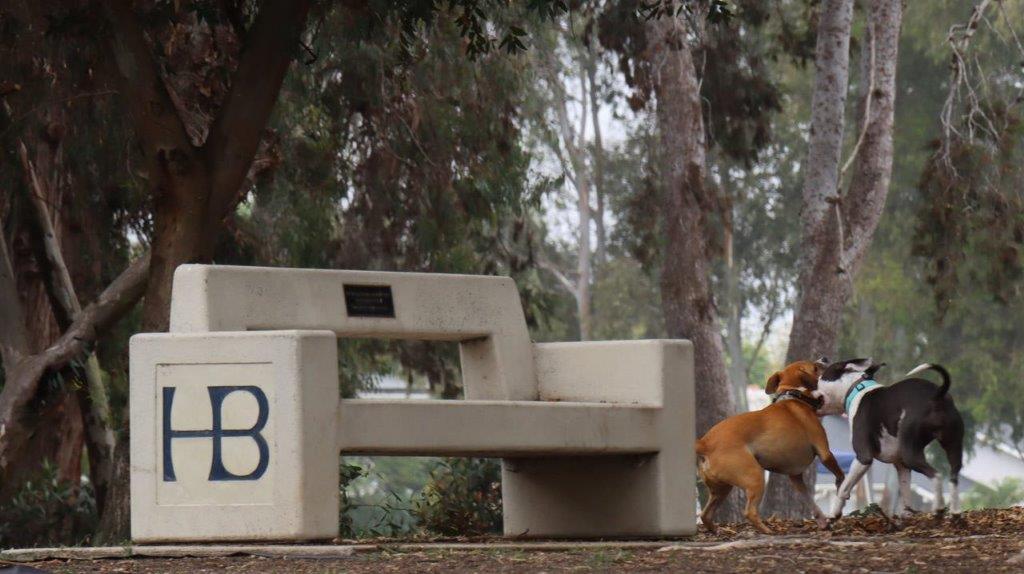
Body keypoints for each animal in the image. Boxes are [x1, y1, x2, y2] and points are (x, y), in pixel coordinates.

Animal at [696, 358, 847, 532]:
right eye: (815, 367)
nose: (824, 358)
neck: (793, 394)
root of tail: (705, 443)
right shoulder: (825, 453)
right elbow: (841, 475)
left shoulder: (796, 477)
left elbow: (810, 500)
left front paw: (822, 521)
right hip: (755, 477)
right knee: (749, 512)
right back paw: (767, 531)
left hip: (721, 490)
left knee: (705, 515)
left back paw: (716, 530)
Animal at [811, 356, 962, 517]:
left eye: (823, 375)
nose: (822, 358)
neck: (856, 389)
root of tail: (938, 394)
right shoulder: (902, 467)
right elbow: (906, 495)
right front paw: (908, 515)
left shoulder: (863, 457)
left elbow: (844, 488)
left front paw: (834, 514)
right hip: (953, 446)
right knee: (953, 478)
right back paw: (955, 513)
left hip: (911, 453)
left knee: (936, 476)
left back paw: (938, 509)